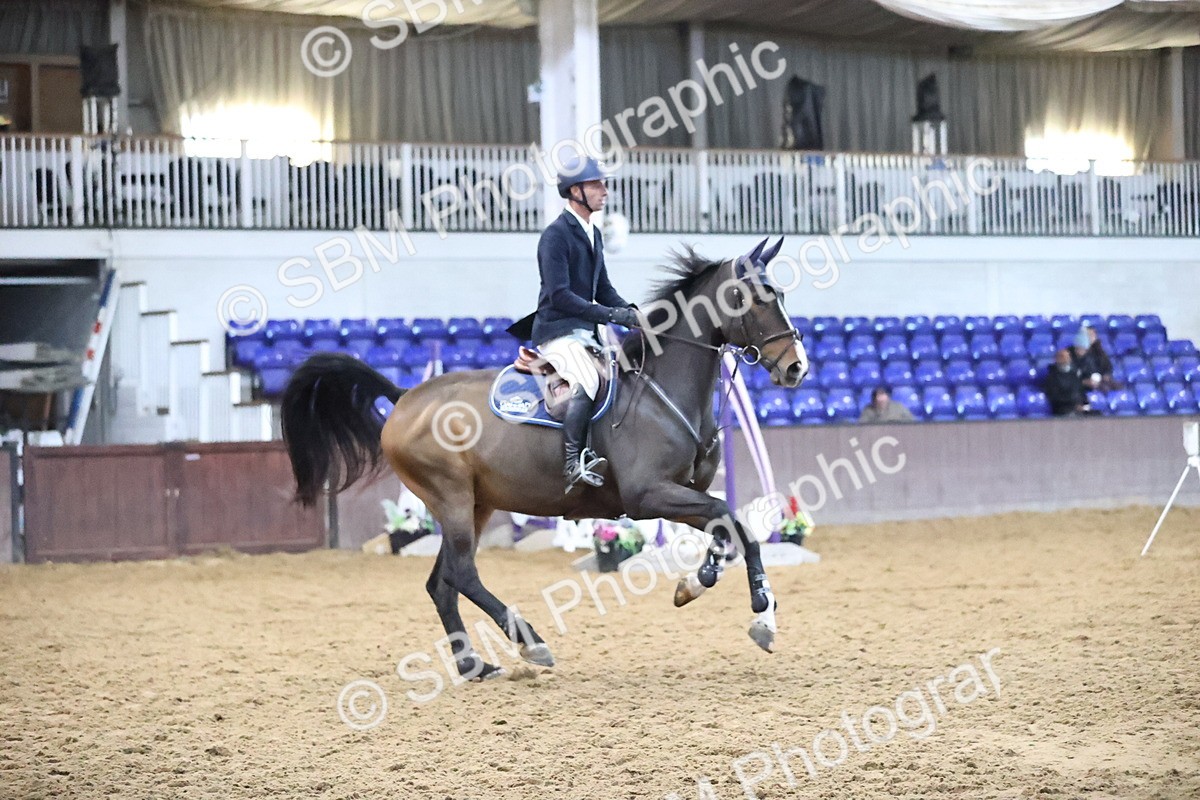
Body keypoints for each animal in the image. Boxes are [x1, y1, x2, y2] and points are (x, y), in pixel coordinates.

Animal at [280, 237, 809, 680]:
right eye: (757, 297)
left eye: (781, 293)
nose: (796, 368)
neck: (664, 392)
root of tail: (405, 396)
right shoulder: (649, 496)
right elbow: (733, 522)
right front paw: (747, 609)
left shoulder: (685, 492)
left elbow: (731, 529)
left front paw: (716, 592)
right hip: (451, 497)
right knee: (462, 574)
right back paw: (530, 642)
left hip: (476, 503)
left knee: (442, 582)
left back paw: (474, 664)